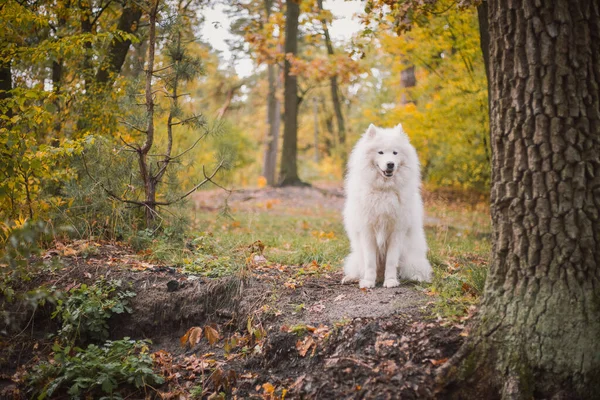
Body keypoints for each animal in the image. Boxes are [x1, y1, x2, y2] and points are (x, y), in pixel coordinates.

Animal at [342, 122, 432, 288]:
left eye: (395, 153)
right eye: (381, 152)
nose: (390, 164)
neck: (384, 190)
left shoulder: (396, 232)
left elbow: (391, 261)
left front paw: (390, 281)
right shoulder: (368, 232)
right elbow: (370, 262)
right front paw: (368, 282)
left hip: (411, 258)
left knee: (414, 271)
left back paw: (415, 278)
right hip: (357, 256)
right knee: (360, 268)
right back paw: (353, 278)